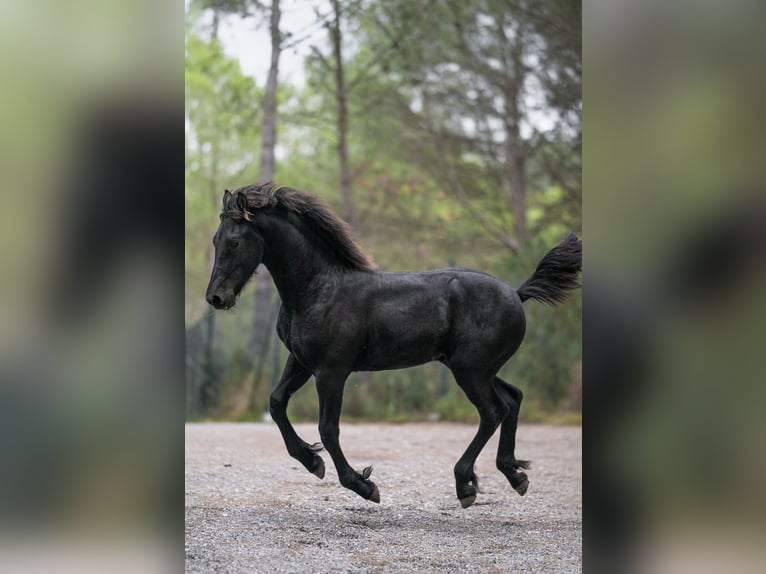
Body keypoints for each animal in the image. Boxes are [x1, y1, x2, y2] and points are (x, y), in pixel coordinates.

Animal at [205, 182, 582, 508]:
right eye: (214, 239)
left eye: (235, 242)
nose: (216, 298)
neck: (319, 288)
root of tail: (518, 294)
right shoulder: (300, 361)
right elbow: (277, 403)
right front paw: (311, 461)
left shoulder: (331, 371)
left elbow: (328, 429)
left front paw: (363, 484)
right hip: (476, 368)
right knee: (513, 398)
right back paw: (514, 475)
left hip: (470, 371)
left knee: (493, 411)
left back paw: (465, 484)